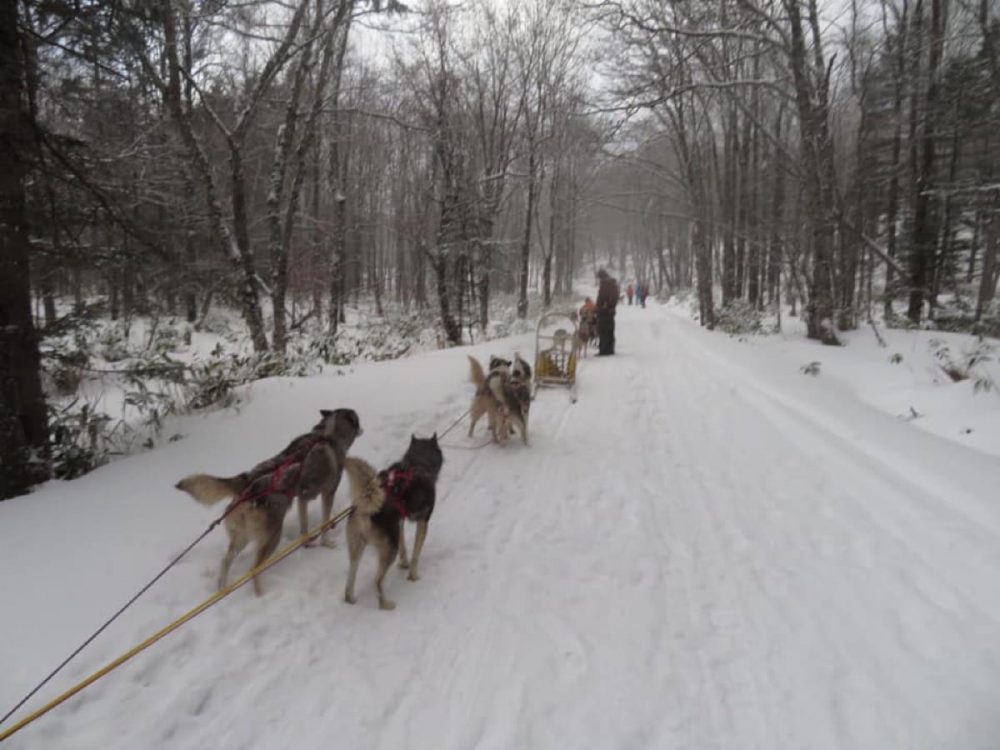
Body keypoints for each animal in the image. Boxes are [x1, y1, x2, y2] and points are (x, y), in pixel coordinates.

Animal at [176, 408, 364, 596]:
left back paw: (223, 589)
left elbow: (304, 526)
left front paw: (307, 542)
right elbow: (325, 523)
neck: (327, 434)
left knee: (225, 561)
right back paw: (261, 594)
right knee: (253, 569)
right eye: (357, 419)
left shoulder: (302, 498)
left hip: (242, 538)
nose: (363, 428)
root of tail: (248, 486)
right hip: (272, 537)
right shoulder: (328, 493)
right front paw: (327, 543)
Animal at [342, 434, 444, 612]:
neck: (418, 462)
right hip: (389, 549)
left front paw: (404, 563)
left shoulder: (400, 522)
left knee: (350, 578)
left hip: (357, 547)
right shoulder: (423, 521)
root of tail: (366, 510)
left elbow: (404, 546)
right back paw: (385, 604)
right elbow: (416, 554)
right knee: (377, 580)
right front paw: (413, 575)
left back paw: (351, 599)